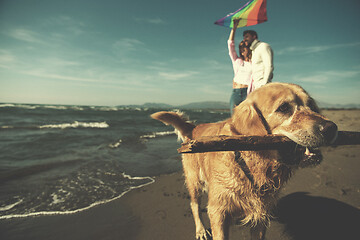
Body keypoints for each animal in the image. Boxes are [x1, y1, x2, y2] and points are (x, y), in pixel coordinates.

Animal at [150, 83, 338, 240]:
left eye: (311, 105)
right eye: (284, 107)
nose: (331, 128)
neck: (251, 166)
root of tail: (194, 128)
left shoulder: (261, 215)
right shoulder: (218, 211)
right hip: (194, 180)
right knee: (194, 205)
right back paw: (201, 230)